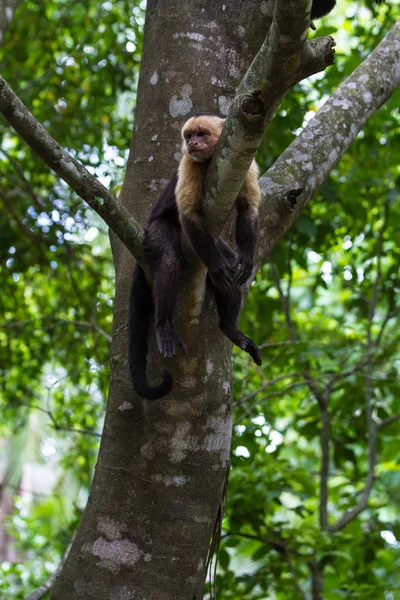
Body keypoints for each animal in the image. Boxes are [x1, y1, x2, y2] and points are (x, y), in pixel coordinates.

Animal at [129, 115, 262, 400]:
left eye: (201, 134)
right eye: (188, 136)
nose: (193, 143)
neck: (211, 160)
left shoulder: (247, 164)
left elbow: (248, 207)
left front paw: (246, 260)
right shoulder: (188, 163)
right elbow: (188, 214)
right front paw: (216, 267)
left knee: (230, 268)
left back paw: (230, 329)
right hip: (155, 232)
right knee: (169, 258)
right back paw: (163, 326)